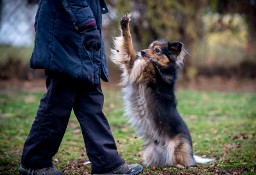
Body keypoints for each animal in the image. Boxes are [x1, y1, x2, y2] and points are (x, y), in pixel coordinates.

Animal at [110, 13, 212, 167]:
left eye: (157, 50)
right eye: (148, 47)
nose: (143, 52)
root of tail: (192, 156)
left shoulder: (149, 72)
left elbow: (148, 61)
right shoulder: (131, 64)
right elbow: (129, 46)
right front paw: (125, 25)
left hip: (178, 145)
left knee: (181, 160)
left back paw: (179, 165)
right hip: (150, 149)